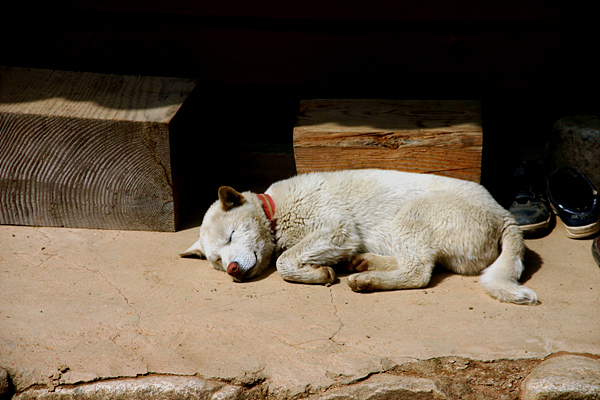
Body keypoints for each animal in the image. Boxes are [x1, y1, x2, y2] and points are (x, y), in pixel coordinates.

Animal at [180, 168, 536, 304]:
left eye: (231, 236)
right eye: (216, 261)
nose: (232, 269)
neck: (276, 211)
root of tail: (503, 215)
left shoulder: (337, 229)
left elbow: (283, 262)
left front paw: (318, 273)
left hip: (411, 216)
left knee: (419, 272)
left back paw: (367, 280)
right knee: (418, 263)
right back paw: (365, 263)